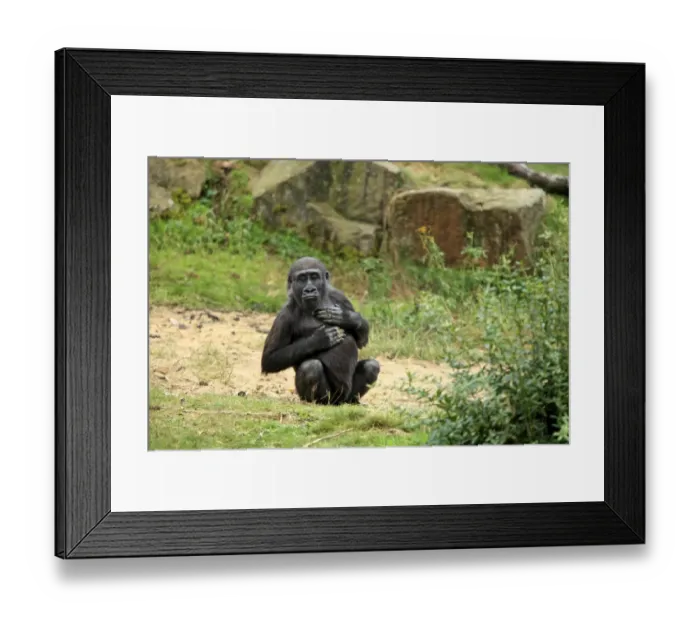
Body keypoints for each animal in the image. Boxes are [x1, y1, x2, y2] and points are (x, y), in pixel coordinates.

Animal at [261, 257, 380, 405]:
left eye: (314, 276)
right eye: (302, 278)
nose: (310, 289)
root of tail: (337, 402)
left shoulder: (340, 296)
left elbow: (361, 340)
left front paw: (347, 318)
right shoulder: (285, 316)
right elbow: (270, 358)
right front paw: (319, 340)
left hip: (345, 397)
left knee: (371, 366)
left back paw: (353, 401)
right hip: (327, 397)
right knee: (311, 367)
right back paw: (317, 401)